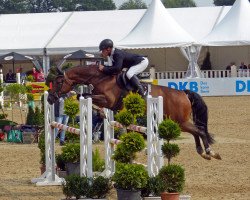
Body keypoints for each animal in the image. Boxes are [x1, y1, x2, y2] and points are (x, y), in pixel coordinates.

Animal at [46, 65, 221, 160]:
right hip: (178, 121)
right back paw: (202, 152)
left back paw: (210, 152)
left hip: (179, 121)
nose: (50, 98)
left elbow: (84, 96)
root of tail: (183, 93)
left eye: (59, 81)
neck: (100, 78)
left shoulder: (108, 99)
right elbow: (84, 96)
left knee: (199, 130)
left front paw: (100, 112)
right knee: (196, 131)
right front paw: (101, 113)